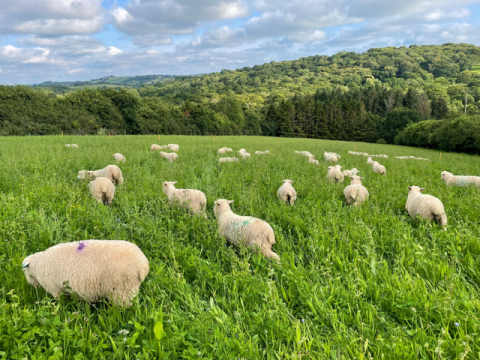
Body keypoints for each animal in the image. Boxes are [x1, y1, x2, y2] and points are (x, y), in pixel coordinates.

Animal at [21, 240, 149, 308]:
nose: (30, 285)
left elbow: (61, 301)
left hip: (122, 290)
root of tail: (143, 265)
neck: (37, 266)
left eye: (24, 271)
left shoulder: (55, 289)